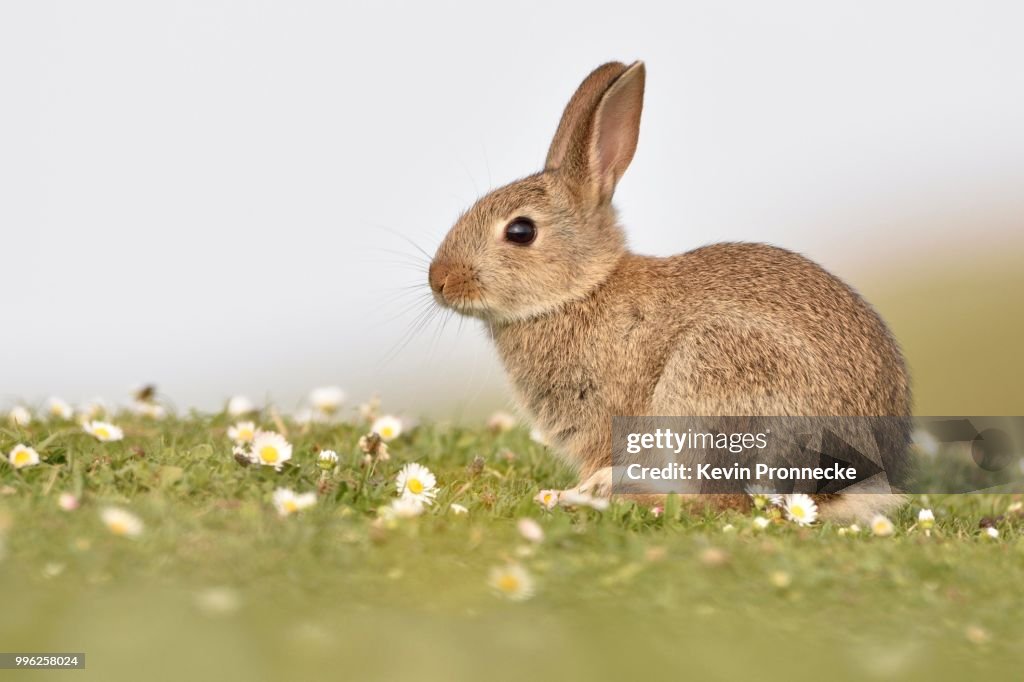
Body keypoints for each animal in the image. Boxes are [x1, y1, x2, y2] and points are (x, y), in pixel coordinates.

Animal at [428, 61, 911, 521]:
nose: (440, 280)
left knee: (723, 502)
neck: (581, 290)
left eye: (521, 231)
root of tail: (845, 485)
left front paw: (583, 488)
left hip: (714, 391)